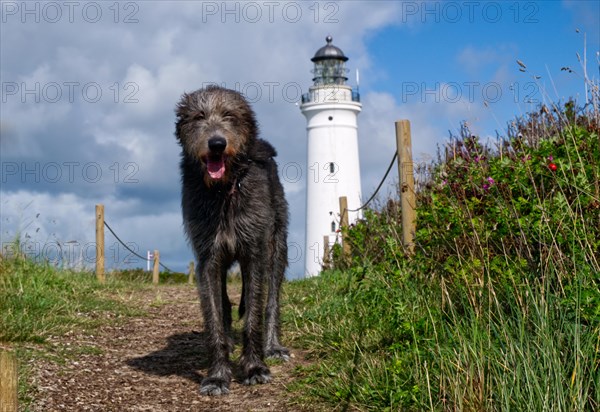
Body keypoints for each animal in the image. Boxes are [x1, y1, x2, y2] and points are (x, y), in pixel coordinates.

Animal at [175, 86, 290, 396]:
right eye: (199, 116)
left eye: (229, 115)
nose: (216, 143)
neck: (224, 190)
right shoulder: (208, 260)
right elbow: (214, 316)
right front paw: (217, 375)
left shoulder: (254, 255)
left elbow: (253, 315)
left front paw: (254, 368)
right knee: (225, 306)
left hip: (277, 247)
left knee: (271, 299)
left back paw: (272, 346)